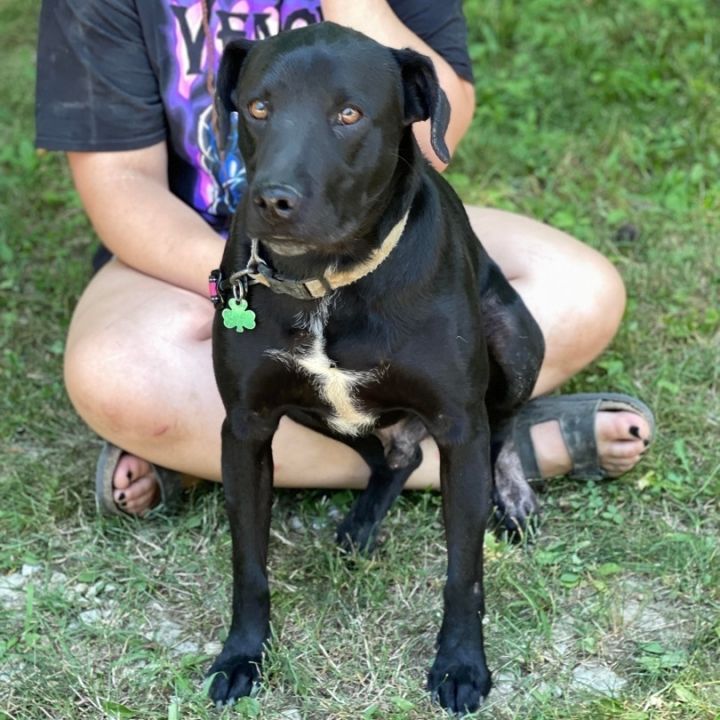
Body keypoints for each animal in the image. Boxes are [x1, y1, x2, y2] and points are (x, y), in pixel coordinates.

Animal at [205, 22, 544, 716]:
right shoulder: (246, 427)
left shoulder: (458, 427)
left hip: (516, 342)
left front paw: (461, 665)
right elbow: (248, 564)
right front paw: (241, 656)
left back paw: (514, 496)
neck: (326, 281)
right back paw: (362, 523)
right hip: (317, 410)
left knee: (503, 426)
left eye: (349, 114)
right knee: (397, 453)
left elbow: (464, 572)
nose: (272, 199)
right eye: (258, 107)